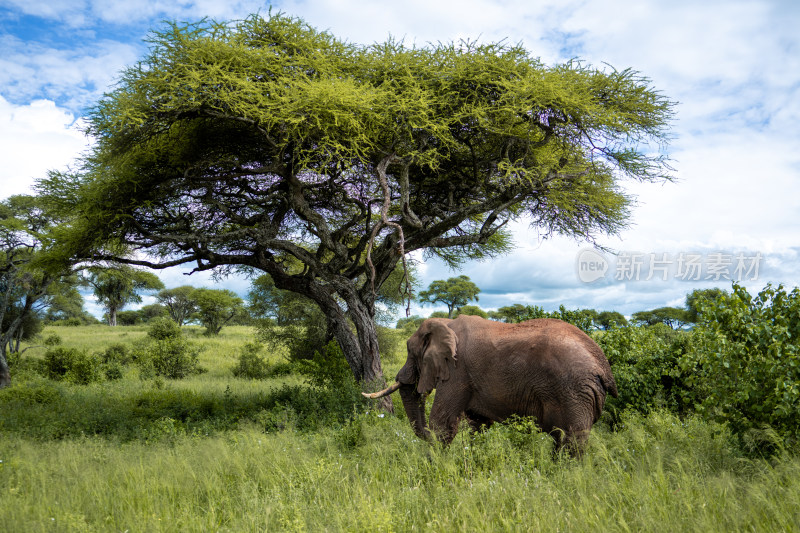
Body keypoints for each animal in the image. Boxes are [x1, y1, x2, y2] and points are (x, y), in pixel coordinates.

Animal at [364, 316, 620, 454]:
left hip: (573, 391)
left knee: (571, 441)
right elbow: (478, 424)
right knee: (563, 440)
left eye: (411, 352)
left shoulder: (457, 371)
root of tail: (603, 366)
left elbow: (443, 423)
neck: (446, 323)